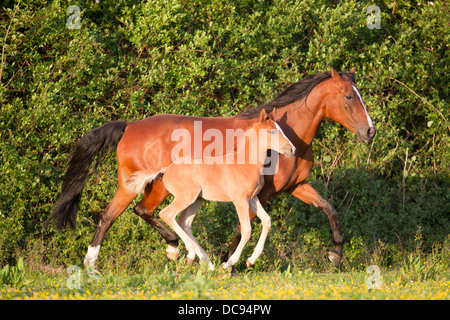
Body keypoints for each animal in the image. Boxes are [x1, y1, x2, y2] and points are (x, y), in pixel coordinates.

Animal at [130, 108, 296, 270]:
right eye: (272, 131)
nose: (292, 149)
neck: (247, 164)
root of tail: (166, 170)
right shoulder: (240, 200)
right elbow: (246, 230)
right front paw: (229, 263)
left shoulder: (252, 198)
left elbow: (267, 221)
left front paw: (251, 260)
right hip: (186, 197)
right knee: (167, 214)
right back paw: (191, 253)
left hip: (197, 200)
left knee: (185, 222)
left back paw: (206, 262)